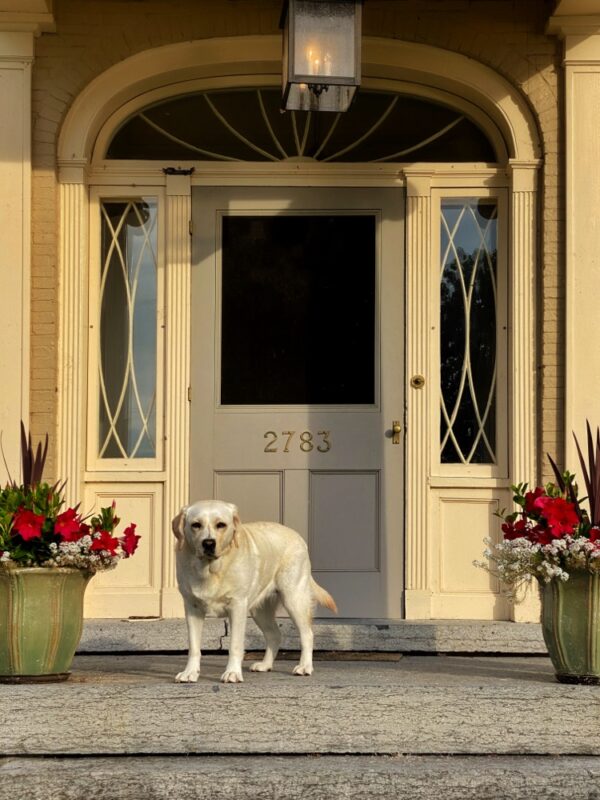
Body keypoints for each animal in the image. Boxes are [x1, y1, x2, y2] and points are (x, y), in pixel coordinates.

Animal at [172, 500, 338, 680]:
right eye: (196, 525)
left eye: (221, 525)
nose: (208, 543)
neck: (211, 570)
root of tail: (298, 536)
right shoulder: (192, 608)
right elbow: (194, 647)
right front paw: (190, 673)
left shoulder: (237, 606)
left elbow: (235, 645)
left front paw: (232, 672)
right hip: (260, 610)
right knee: (274, 635)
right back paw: (265, 665)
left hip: (294, 598)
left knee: (307, 634)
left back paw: (305, 666)